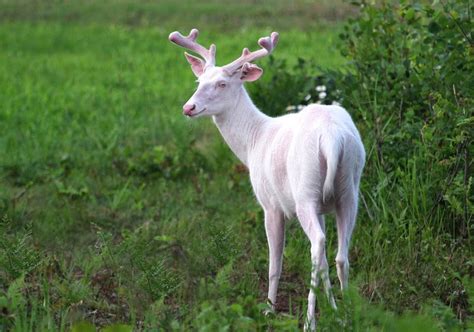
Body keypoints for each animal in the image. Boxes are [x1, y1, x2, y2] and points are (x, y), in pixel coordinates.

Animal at [170, 28, 366, 330]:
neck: (253, 142)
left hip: (304, 191)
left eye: (222, 84)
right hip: (349, 189)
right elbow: (324, 263)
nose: (188, 107)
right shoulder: (324, 207)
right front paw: (334, 310)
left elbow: (275, 264)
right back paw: (348, 316)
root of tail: (333, 138)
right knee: (339, 255)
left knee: (317, 244)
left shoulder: (270, 204)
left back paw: (309, 321)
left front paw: (268, 310)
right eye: (198, 80)